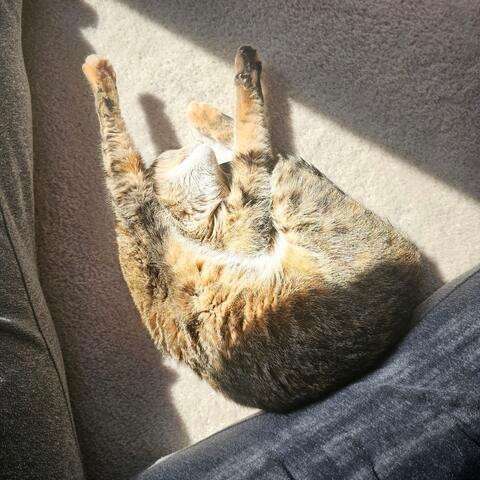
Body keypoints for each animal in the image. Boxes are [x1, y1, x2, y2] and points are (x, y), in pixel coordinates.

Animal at [82, 47, 420, 410]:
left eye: (172, 151)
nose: (178, 149)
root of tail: (411, 266)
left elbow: (246, 141)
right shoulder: (153, 199)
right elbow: (248, 137)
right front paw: (99, 74)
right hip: (290, 189)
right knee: (272, 154)